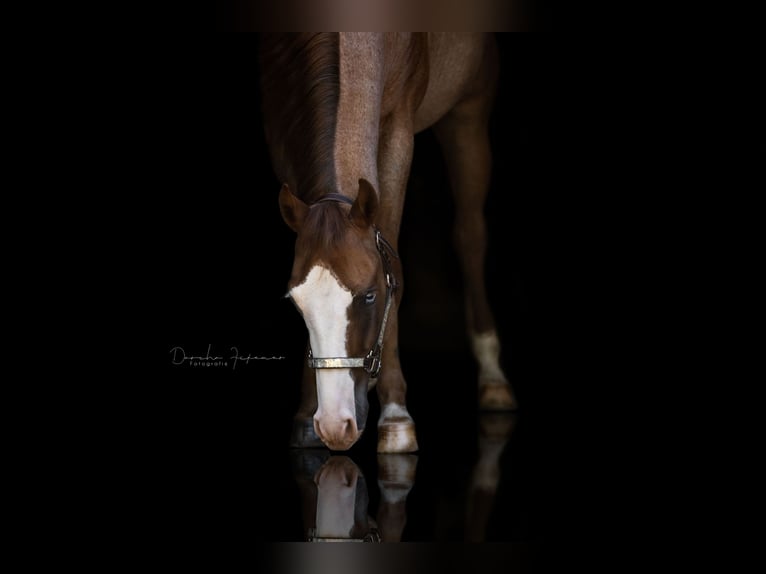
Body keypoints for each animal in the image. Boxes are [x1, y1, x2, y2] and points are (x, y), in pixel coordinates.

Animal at [260, 33, 516, 453]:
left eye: (370, 295)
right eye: (296, 303)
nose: (335, 424)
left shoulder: (399, 129)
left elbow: (394, 260)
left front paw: (396, 418)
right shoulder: (282, 128)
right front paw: (304, 414)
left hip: (469, 111)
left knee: (470, 236)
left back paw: (493, 378)